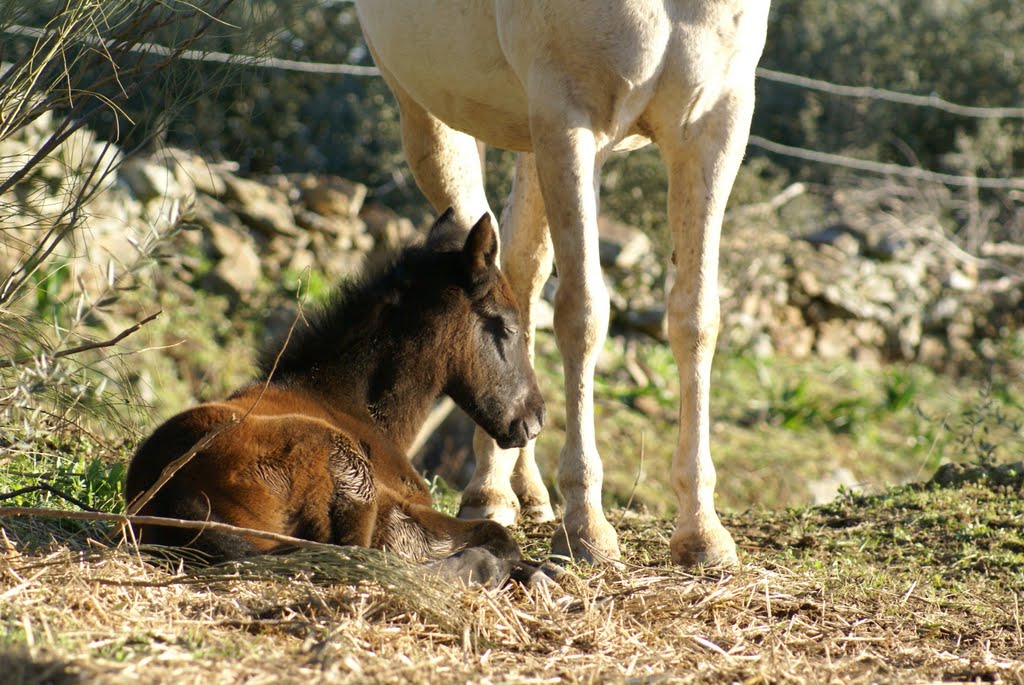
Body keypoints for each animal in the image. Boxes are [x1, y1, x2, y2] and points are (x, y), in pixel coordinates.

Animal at [356, 1, 765, 565]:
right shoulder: (570, 117)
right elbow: (582, 315)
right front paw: (586, 526)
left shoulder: (715, 122)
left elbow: (696, 319)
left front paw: (702, 531)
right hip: (435, 112)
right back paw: (487, 491)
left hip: (530, 138)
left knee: (521, 270)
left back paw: (523, 491)